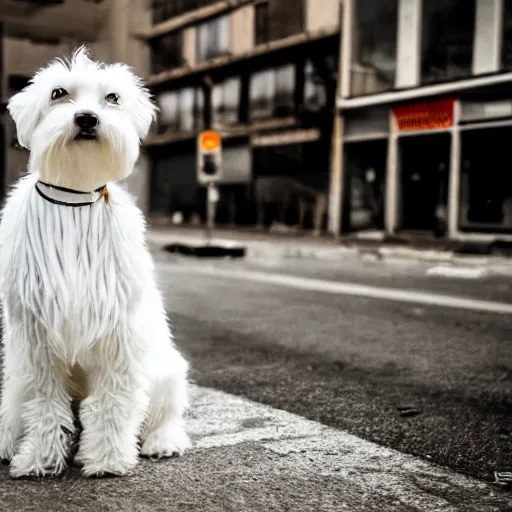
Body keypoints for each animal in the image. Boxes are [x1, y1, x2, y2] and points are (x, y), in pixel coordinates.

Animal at [0, 46, 190, 478]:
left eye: (112, 98)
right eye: (58, 93)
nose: (86, 118)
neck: (74, 197)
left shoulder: (119, 333)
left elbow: (113, 403)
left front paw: (107, 458)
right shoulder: (36, 340)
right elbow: (44, 403)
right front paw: (39, 458)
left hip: (167, 370)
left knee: (165, 413)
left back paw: (163, 441)